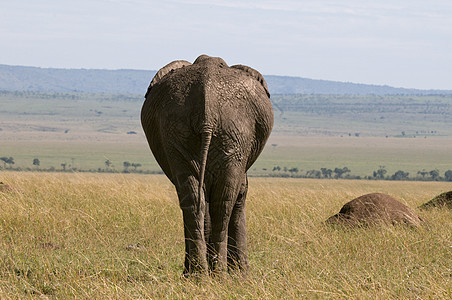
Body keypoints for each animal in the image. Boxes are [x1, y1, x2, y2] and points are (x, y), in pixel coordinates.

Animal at [141, 54, 274, 274]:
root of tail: (208, 105)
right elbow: (240, 194)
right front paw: (241, 275)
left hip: (179, 129)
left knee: (193, 199)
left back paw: (198, 275)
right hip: (235, 132)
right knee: (223, 202)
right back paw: (218, 274)